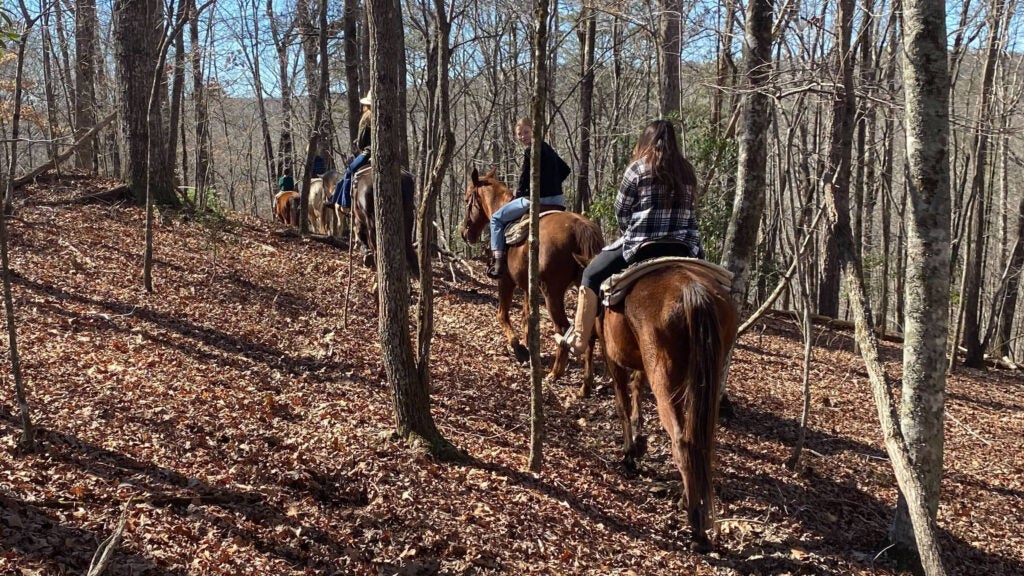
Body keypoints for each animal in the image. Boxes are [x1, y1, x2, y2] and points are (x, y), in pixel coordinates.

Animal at [460, 167, 602, 389]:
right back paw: (586, 384)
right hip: (584, 287)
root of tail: (580, 228)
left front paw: (520, 351)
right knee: (589, 329)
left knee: (563, 326)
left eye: (467, 199)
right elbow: (527, 319)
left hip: (552, 291)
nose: (465, 233)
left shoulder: (506, 281)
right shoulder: (528, 288)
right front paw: (530, 348)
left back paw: (555, 373)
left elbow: (502, 315)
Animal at [598, 258, 737, 549]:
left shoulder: (613, 359)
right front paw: (639, 441)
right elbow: (637, 389)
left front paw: (629, 453)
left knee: (681, 441)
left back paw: (696, 524)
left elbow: (622, 404)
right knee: (697, 440)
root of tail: (693, 289)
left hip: (663, 375)